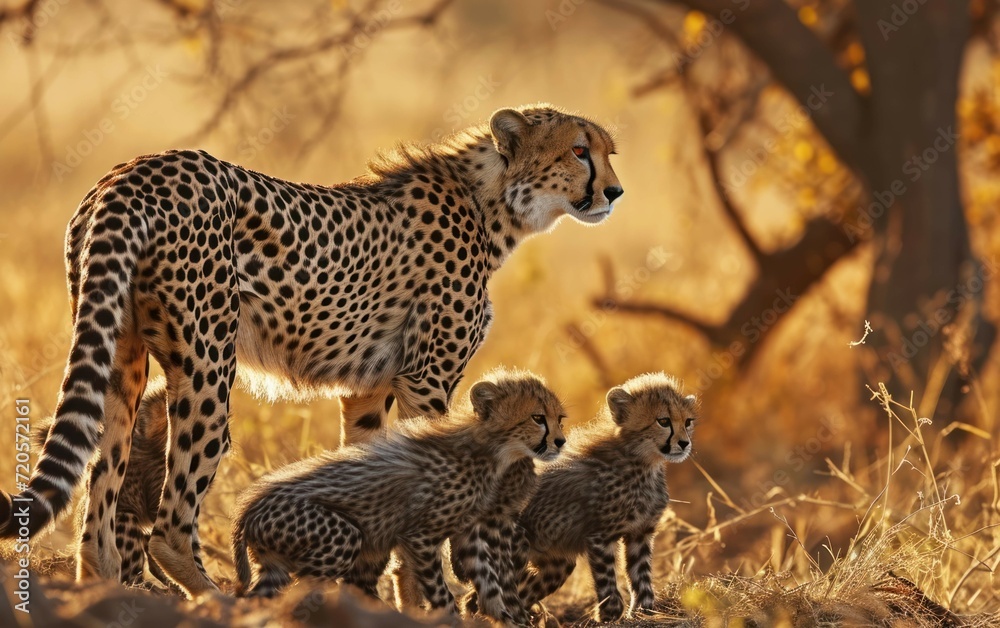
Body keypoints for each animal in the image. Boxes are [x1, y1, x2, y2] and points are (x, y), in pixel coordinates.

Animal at [0, 104, 622, 597]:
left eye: (607, 152)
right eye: (579, 150)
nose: (614, 192)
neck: (492, 201)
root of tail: (136, 169)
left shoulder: (368, 390)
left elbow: (373, 480)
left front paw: (380, 597)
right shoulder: (426, 381)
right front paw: (428, 597)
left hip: (118, 354)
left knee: (96, 505)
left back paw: (103, 588)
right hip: (208, 366)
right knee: (170, 525)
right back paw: (217, 598)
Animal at [230, 368, 566, 625]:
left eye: (560, 418)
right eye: (538, 418)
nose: (561, 441)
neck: (492, 451)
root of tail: (248, 506)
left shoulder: (471, 535)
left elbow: (490, 585)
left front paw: (509, 619)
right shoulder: (419, 537)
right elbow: (441, 592)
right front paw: (453, 618)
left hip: (275, 564)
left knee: (258, 598)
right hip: (339, 535)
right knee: (303, 590)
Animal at [513, 373, 698, 622]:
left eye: (687, 422)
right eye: (664, 421)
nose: (684, 443)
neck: (644, 464)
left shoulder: (640, 533)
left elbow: (641, 576)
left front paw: (644, 611)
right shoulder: (600, 536)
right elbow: (607, 578)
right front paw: (609, 614)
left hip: (557, 563)